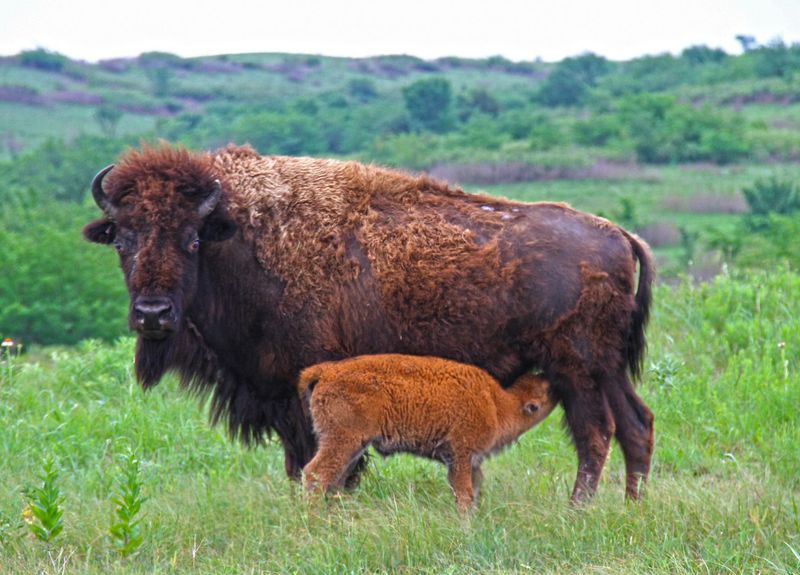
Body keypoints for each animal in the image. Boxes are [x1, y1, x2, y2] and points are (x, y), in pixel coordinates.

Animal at [296, 356, 552, 512]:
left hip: (351, 447)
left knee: (334, 480)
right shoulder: (460, 454)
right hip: (342, 441)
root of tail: (327, 371)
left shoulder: (470, 462)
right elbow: (464, 493)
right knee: (314, 474)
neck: (496, 403)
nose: (549, 378)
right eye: (542, 398)